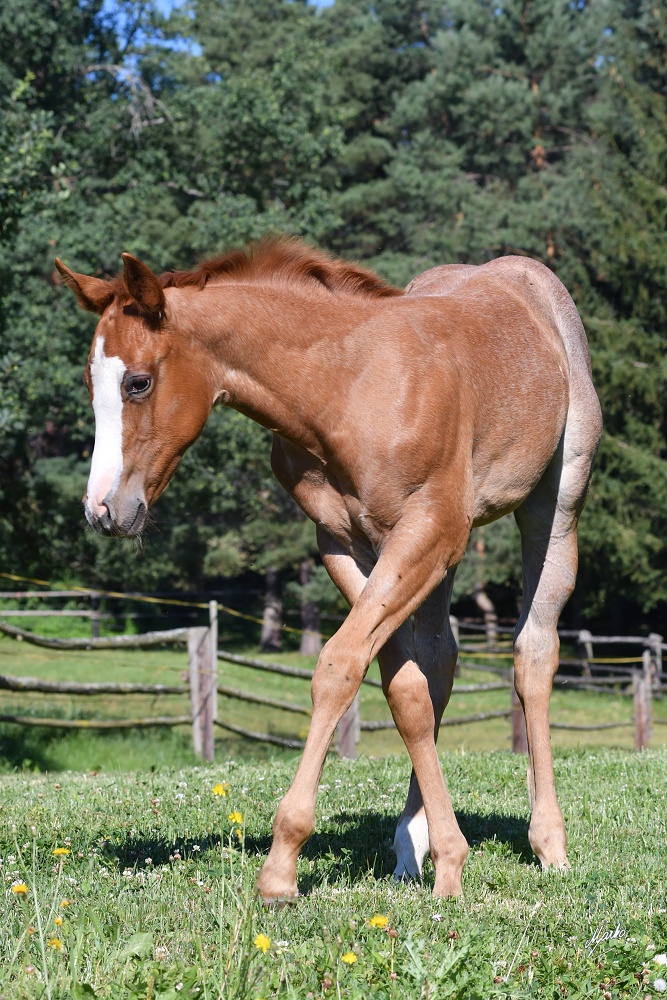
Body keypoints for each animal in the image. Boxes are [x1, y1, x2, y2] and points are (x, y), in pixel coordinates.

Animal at [54, 238, 604, 904]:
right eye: (91, 383)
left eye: (138, 382)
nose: (104, 510)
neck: (347, 388)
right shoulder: (348, 544)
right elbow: (403, 689)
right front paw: (438, 855)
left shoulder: (431, 532)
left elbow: (338, 667)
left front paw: (281, 865)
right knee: (441, 660)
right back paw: (413, 845)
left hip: (553, 508)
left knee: (533, 653)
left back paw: (549, 842)